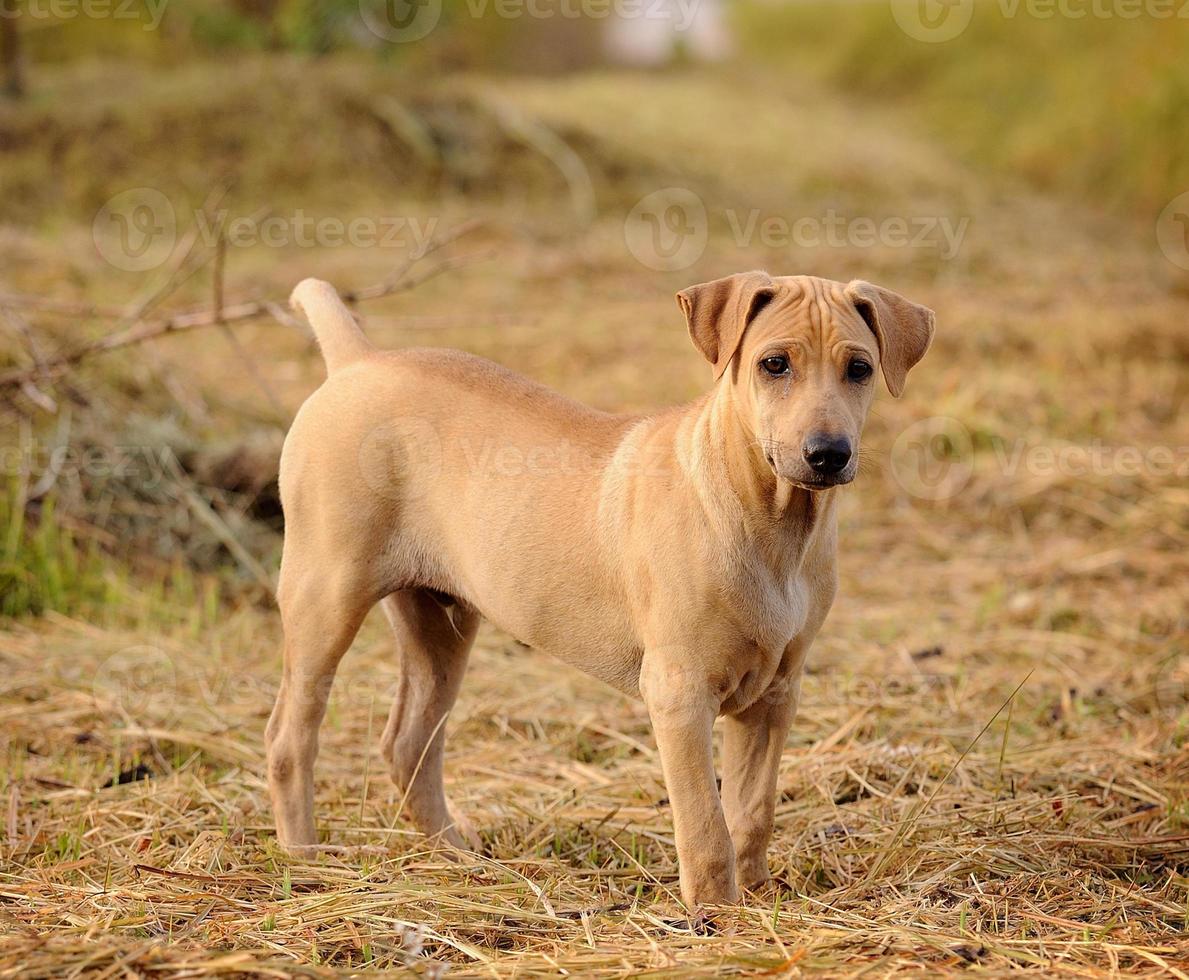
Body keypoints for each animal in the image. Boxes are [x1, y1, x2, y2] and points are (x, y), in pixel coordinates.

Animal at [265, 269, 932, 913]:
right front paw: (716, 915)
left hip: (440, 624)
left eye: (859, 369)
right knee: (290, 738)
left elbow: (752, 812)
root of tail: (358, 362)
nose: (827, 454)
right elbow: (705, 824)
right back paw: (304, 861)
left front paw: (761, 901)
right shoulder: (679, 691)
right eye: (774, 364)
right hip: (325, 595)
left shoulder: (775, 694)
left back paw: (457, 859)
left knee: (409, 745)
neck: (772, 514)